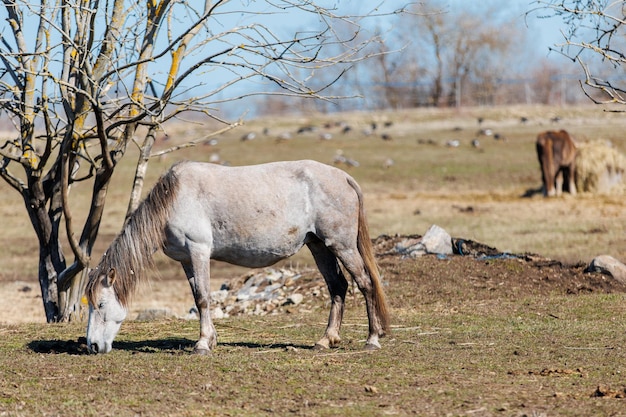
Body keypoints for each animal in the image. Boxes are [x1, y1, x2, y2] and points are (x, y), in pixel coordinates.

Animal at [85, 159, 388, 354]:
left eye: (100, 304)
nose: (92, 346)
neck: (174, 200)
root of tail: (343, 177)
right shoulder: (186, 259)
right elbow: (198, 298)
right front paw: (211, 339)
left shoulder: (199, 251)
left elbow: (204, 298)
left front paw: (202, 345)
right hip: (319, 246)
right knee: (338, 287)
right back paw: (326, 340)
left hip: (342, 246)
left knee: (365, 283)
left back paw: (372, 340)